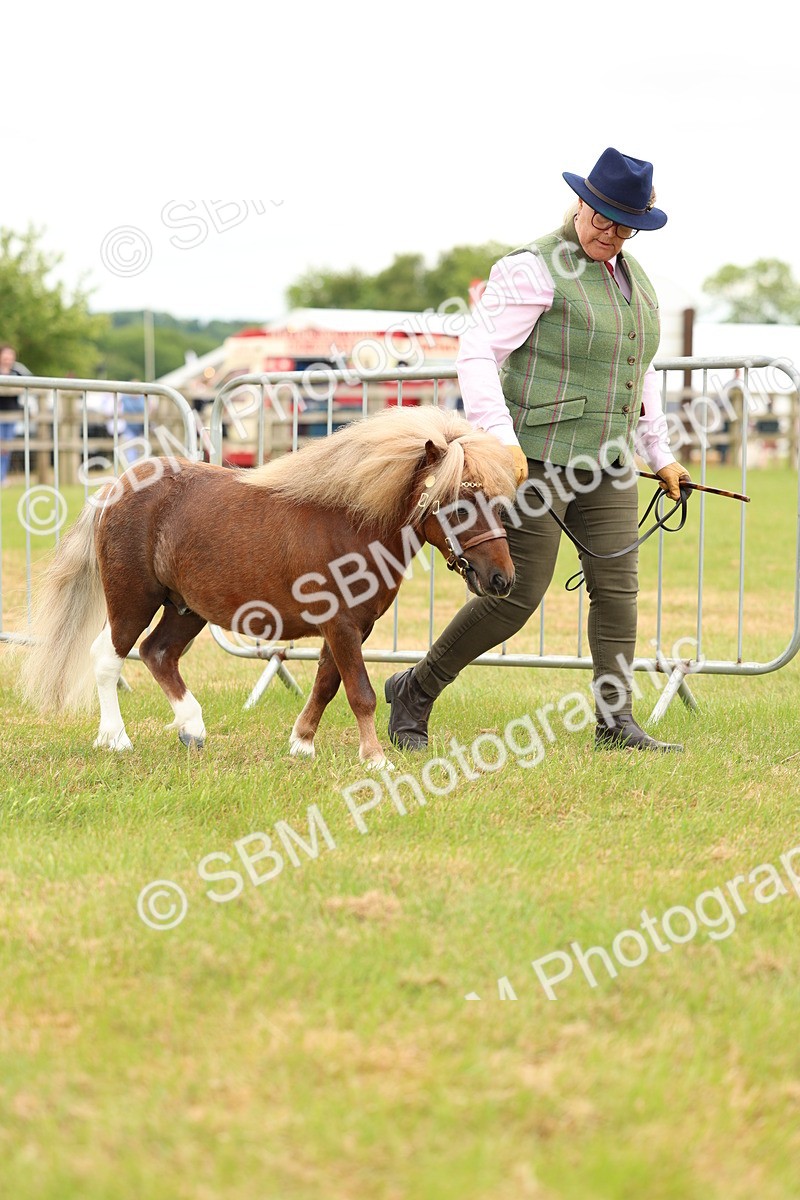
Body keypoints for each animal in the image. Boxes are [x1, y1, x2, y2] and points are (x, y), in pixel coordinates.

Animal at [19, 405, 517, 766]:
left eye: (497, 502)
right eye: (457, 507)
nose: (502, 579)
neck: (352, 525)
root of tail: (115, 489)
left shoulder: (353, 627)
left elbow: (326, 684)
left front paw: (302, 744)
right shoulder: (342, 625)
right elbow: (360, 692)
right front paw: (375, 759)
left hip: (186, 607)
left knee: (158, 653)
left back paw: (193, 729)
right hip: (132, 599)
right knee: (108, 657)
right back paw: (116, 738)